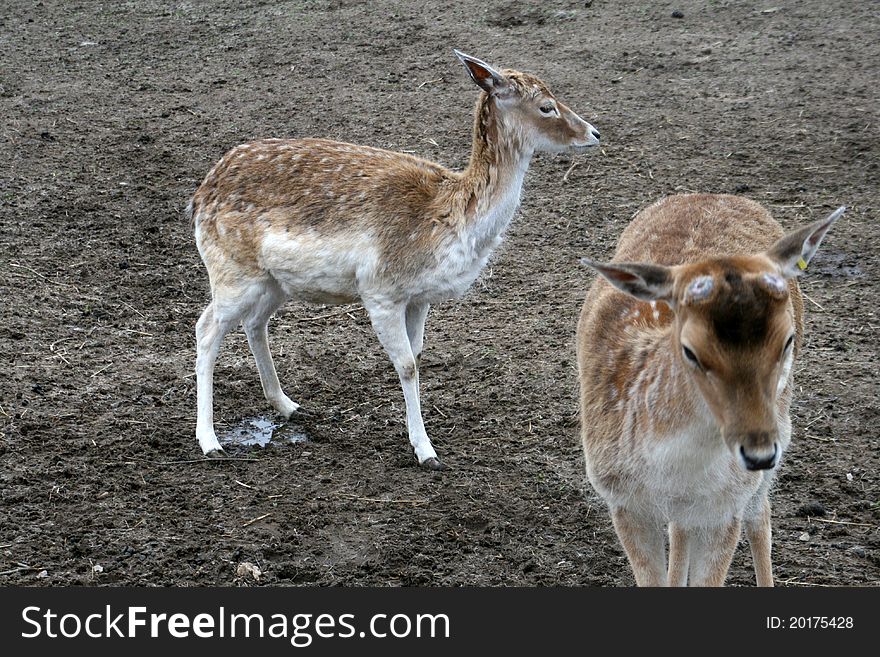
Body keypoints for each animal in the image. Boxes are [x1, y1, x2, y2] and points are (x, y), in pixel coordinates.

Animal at [191, 52, 604, 472]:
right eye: (546, 106)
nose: (594, 133)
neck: (448, 222)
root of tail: (202, 193)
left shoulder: (418, 298)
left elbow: (417, 356)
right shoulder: (380, 291)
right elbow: (406, 364)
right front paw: (426, 451)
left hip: (274, 281)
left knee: (254, 323)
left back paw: (289, 406)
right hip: (232, 271)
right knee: (206, 328)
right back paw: (210, 441)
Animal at [576, 195, 844, 584]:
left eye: (788, 340)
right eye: (690, 351)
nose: (759, 453)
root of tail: (712, 195)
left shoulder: (724, 507)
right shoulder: (622, 499)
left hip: (776, 437)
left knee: (760, 513)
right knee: (682, 528)